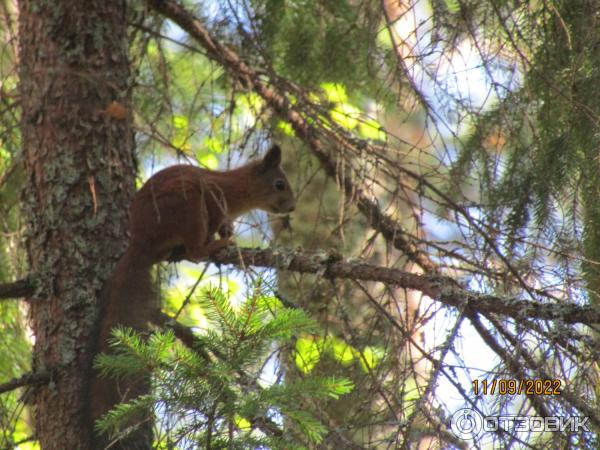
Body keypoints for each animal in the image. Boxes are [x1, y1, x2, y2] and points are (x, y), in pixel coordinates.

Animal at [89, 146, 296, 448]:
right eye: (280, 184)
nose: (292, 207)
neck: (236, 189)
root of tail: (141, 240)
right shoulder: (214, 199)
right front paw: (224, 237)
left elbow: (225, 225)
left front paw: (229, 232)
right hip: (189, 207)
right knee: (196, 249)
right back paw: (216, 245)